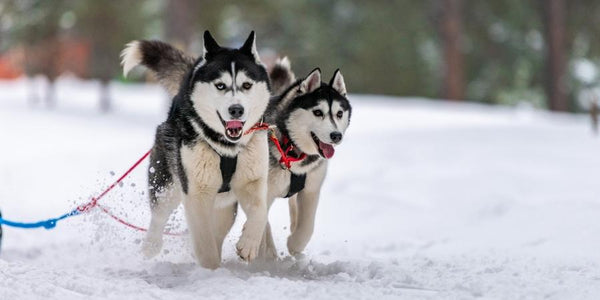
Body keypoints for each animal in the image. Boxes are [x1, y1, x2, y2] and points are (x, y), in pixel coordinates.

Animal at [122, 31, 272, 270]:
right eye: (220, 86)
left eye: (247, 85)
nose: (236, 109)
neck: (227, 148)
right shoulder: (196, 193)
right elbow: (204, 241)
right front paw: (210, 269)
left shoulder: (252, 182)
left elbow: (260, 212)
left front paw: (248, 244)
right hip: (167, 186)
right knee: (159, 216)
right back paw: (150, 247)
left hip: (224, 207)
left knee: (218, 229)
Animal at [126, 41, 352, 258]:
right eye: (318, 112)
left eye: (339, 114)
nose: (336, 136)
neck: (292, 148)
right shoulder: (265, 189)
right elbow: (263, 223)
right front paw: (268, 253)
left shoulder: (310, 190)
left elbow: (306, 226)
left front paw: (294, 245)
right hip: (171, 187)